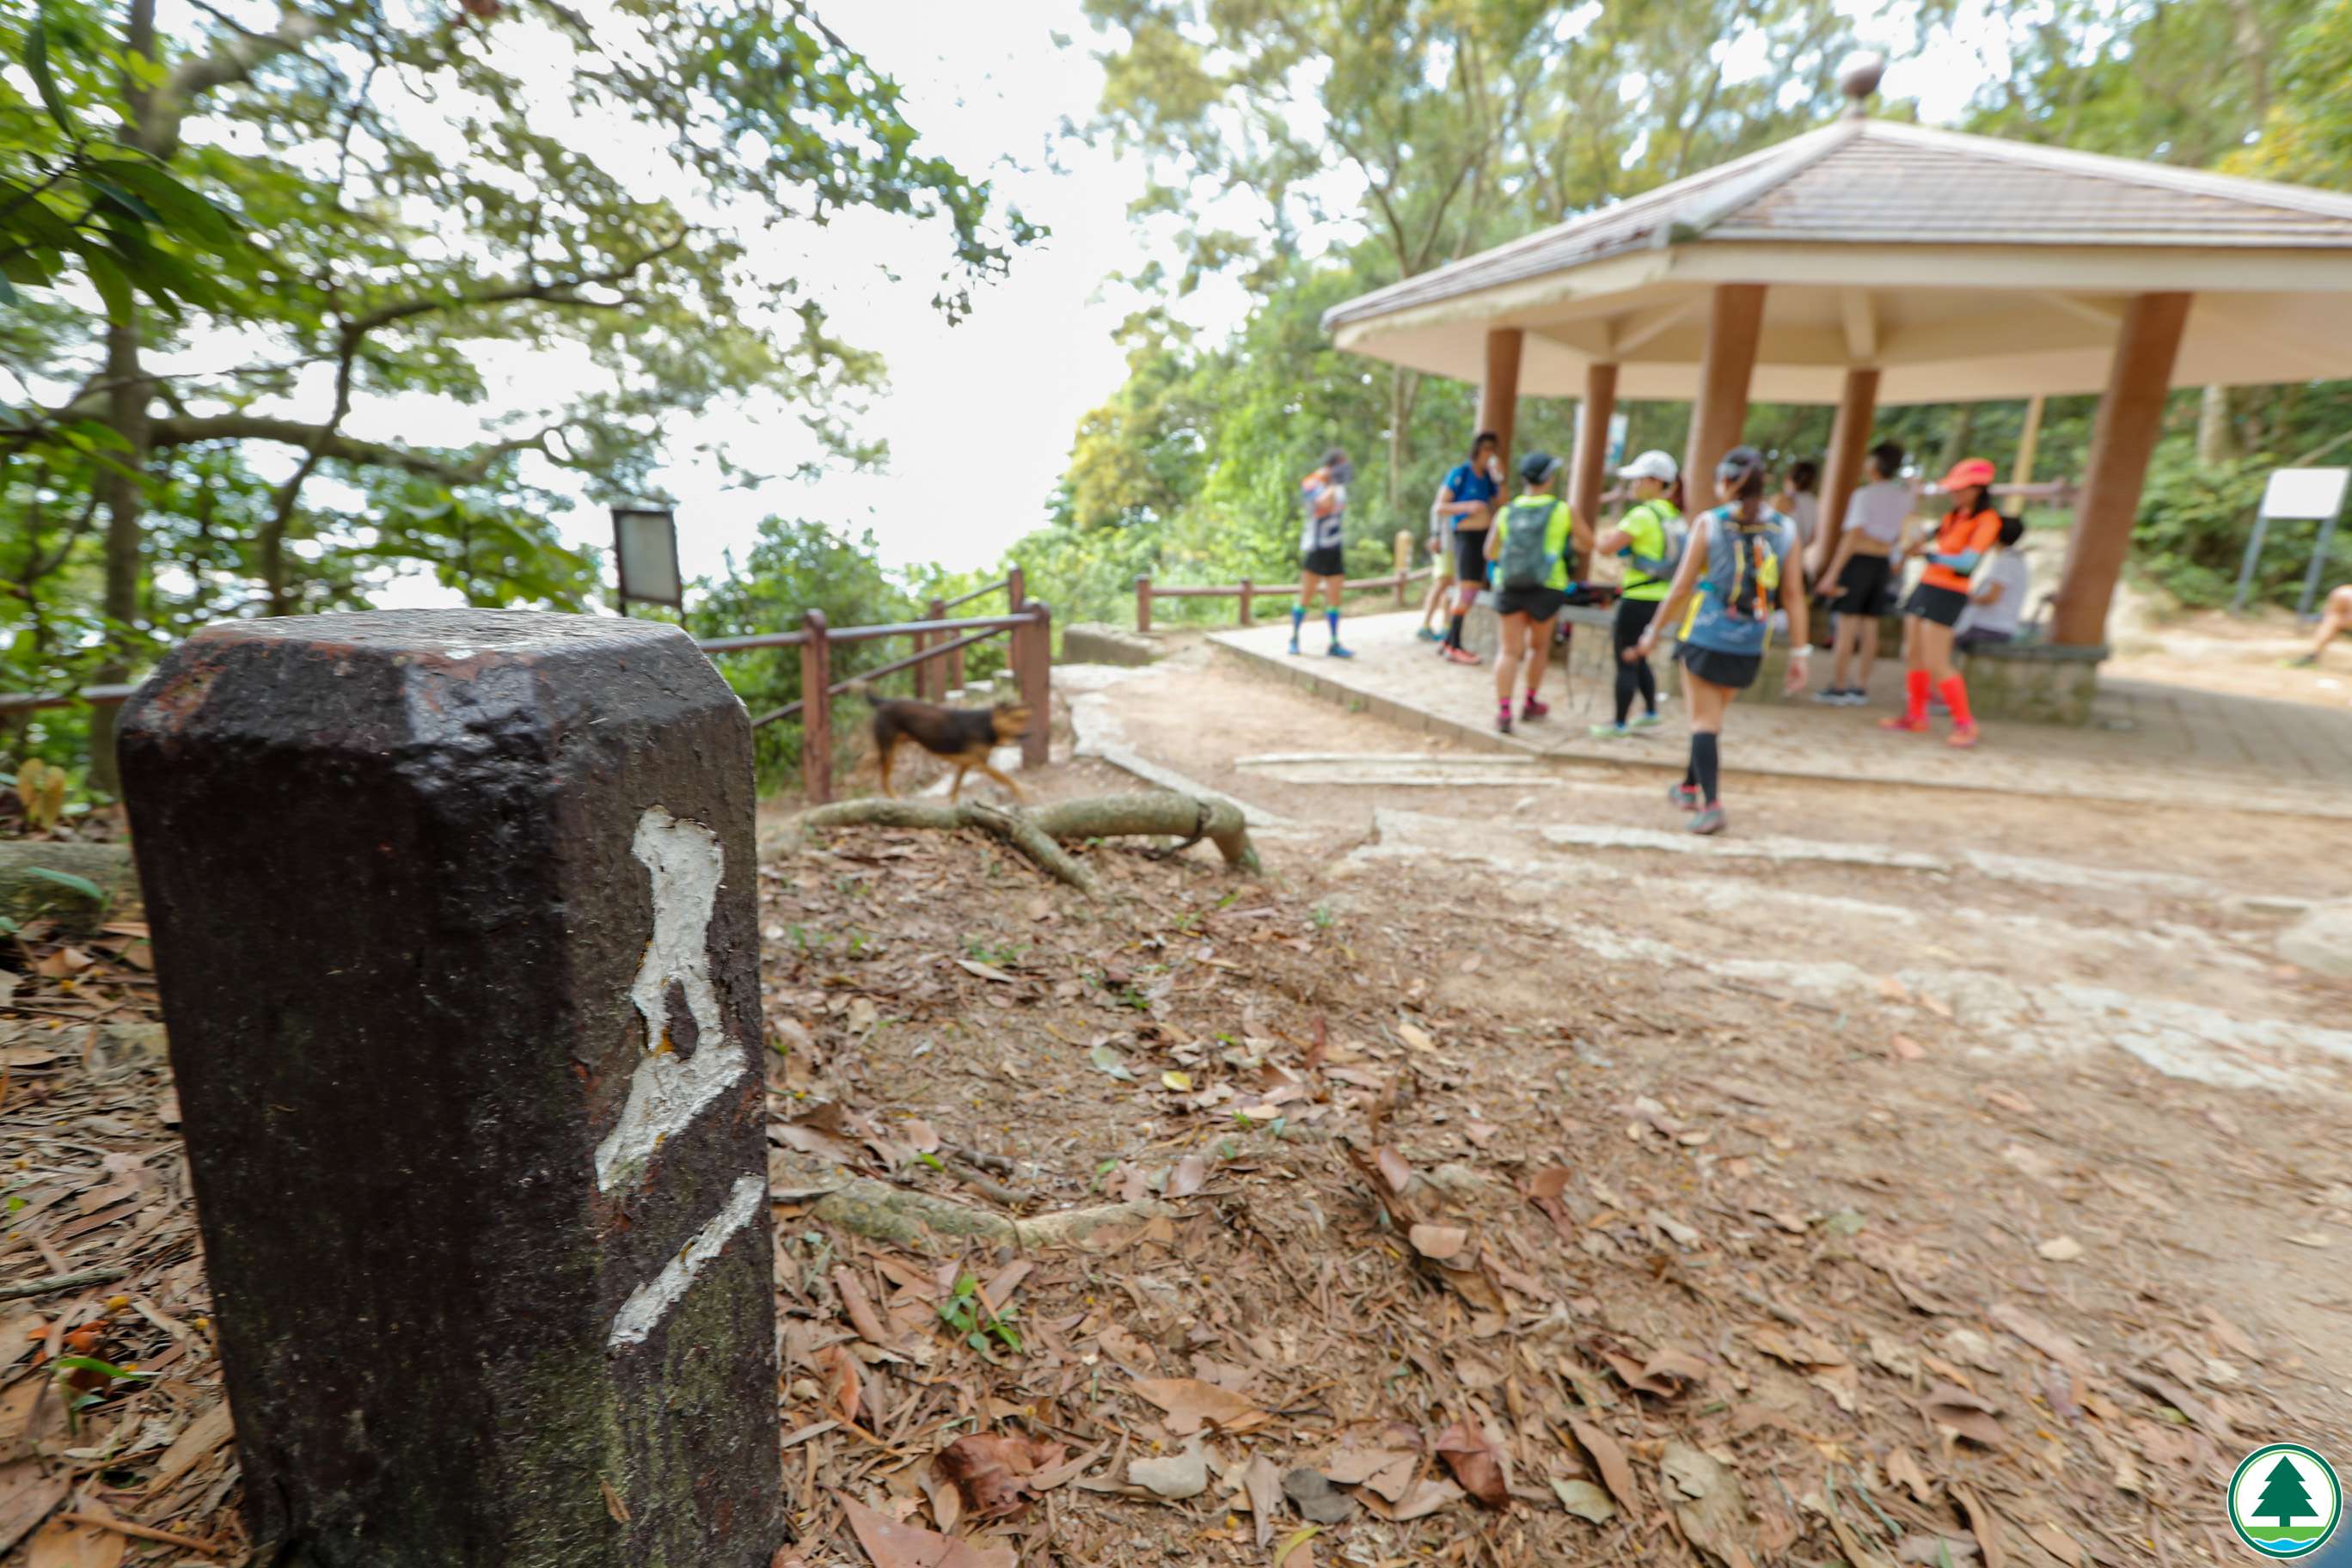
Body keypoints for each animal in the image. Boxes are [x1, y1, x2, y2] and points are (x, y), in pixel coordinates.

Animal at [851, 682, 1025, 804]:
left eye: (1022, 720)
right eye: (1014, 720)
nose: (1026, 734)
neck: (987, 725)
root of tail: (884, 702)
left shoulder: (966, 763)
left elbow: (956, 786)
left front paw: (954, 802)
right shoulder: (981, 764)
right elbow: (1008, 779)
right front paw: (1023, 794)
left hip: (895, 745)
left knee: (867, 762)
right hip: (888, 748)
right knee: (879, 775)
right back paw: (888, 795)